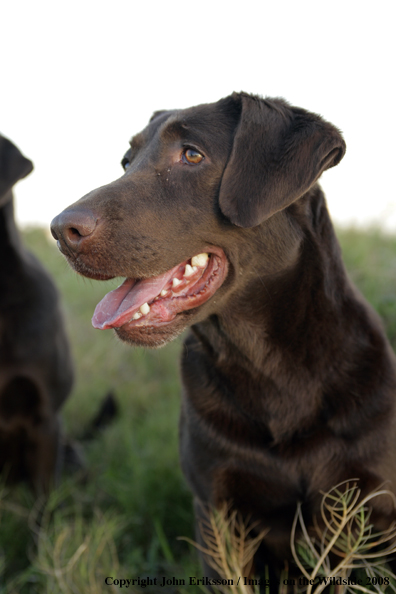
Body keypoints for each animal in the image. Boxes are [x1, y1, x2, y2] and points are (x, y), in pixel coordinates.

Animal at [51, 93, 396, 580]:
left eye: (192, 155)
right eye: (126, 162)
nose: (61, 230)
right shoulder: (217, 512)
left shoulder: (362, 512)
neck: (268, 366)